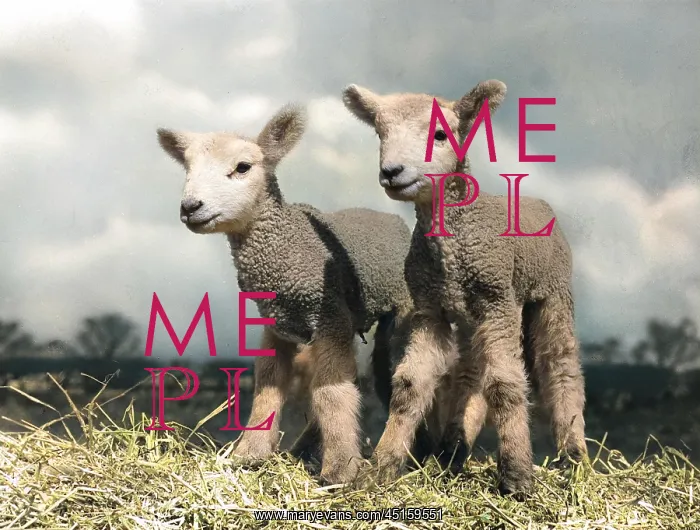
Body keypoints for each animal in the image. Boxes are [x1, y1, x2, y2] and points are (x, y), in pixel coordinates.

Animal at [156, 103, 444, 485]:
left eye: (243, 167)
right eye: (187, 168)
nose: (190, 207)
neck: (287, 247)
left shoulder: (329, 318)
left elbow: (330, 393)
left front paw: (340, 469)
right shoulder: (276, 327)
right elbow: (268, 387)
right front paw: (250, 454)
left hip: (402, 311)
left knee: (402, 378)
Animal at [341, 79, 587, 495]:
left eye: (440, 135)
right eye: (380, 133)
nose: (392, 171)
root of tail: (538, 201)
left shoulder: (499, 301)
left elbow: (506, 384)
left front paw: (517, 478)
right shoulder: (430, 309)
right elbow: (410, 384)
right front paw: (381, 469)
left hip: (551, 292)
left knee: (560, 365)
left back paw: (575, 456)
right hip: (473, 316)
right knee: (471, 374)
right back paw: (452, 451)